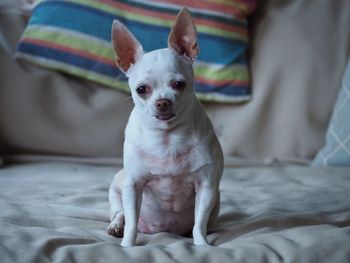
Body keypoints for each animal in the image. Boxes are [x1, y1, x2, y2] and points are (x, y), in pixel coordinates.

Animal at [108, 8, 224, 248]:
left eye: (179, 84)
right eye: (141, 89)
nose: (162, 102)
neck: (166, 136)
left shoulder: (207, 187)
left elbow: (199, 223)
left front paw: (202, 244)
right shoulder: (132, 186)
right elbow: (131, 223)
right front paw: (127, 246)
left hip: (216, 201)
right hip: (117, 188)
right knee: (121, 213)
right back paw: (116, 226)